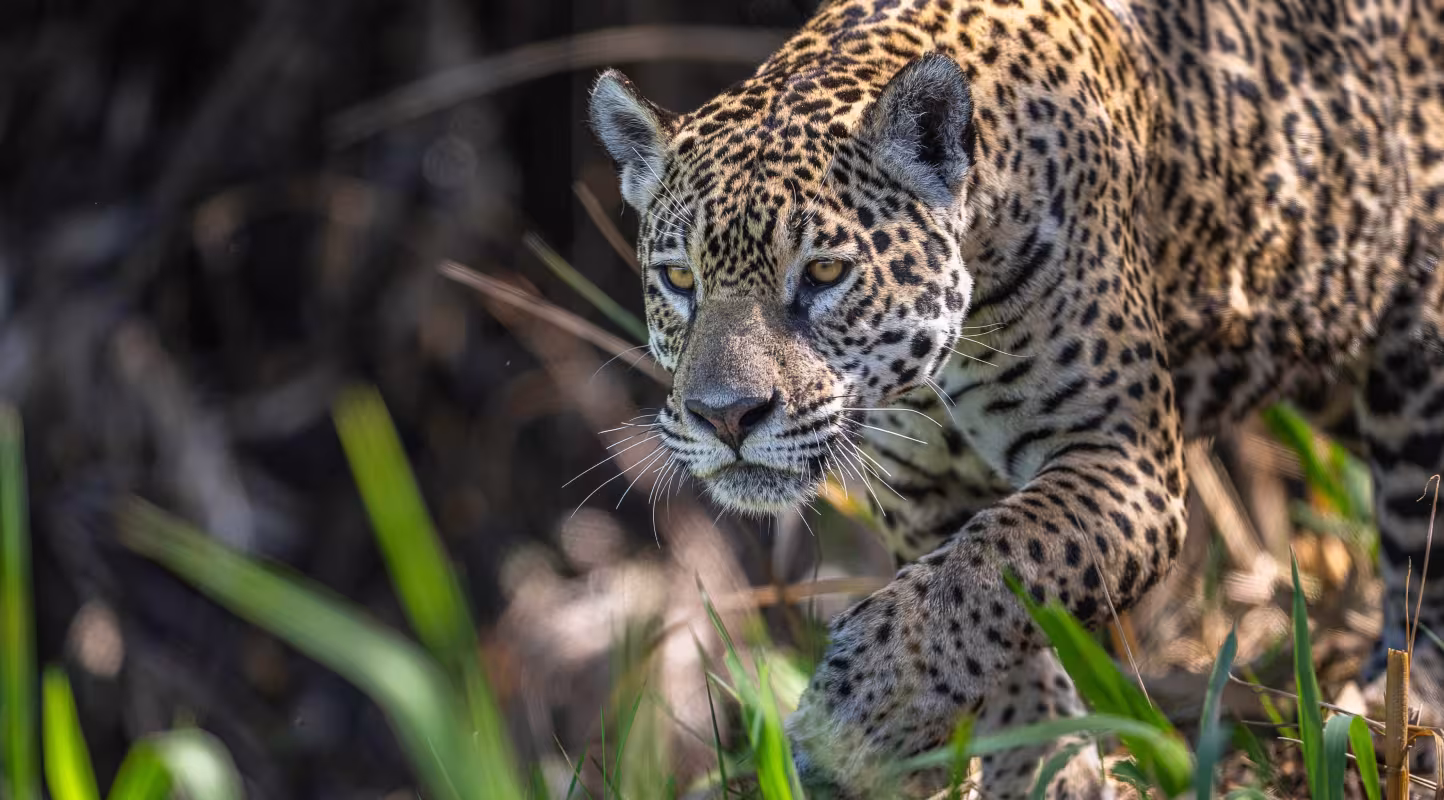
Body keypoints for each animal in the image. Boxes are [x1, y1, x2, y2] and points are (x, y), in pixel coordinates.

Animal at [586, 0, 1444, 796]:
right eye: (679, 278)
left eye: (825, 273)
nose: (726, 415)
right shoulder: (922, 493)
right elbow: (983, 606)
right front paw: (1038, 763)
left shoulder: (1123, 458)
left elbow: (995, 563)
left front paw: (859, 719)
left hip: (1419, 369)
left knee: (1423, 553)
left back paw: (1397, 719)